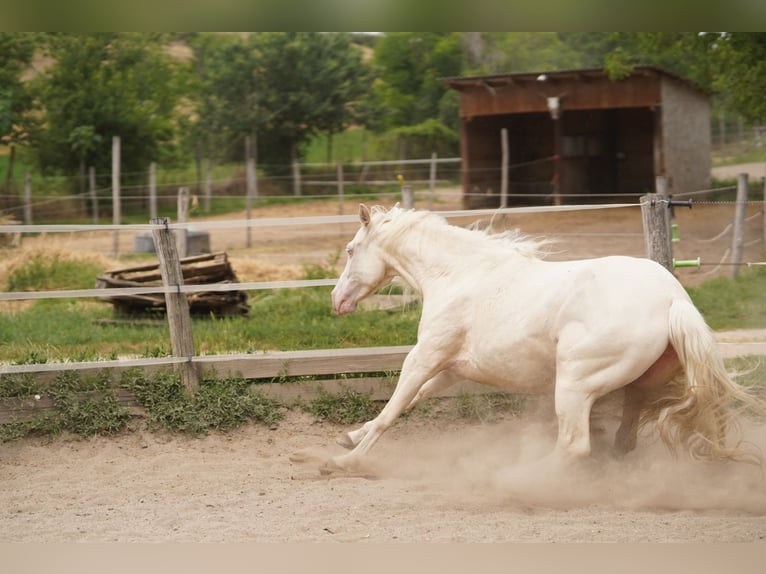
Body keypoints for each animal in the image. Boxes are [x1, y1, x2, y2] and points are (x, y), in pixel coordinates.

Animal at [327, 203, 763, 473]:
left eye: (350, 250)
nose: (337, 300)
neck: (460, 275)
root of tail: (674, 299)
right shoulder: (452, 367)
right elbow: (411, 400)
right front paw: (350, 437)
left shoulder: (424, 356)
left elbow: (394, 408)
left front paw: (345, 461)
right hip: (639, 384)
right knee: (624, 437)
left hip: (574, 383)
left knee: (574, 445)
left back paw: (514, 477)